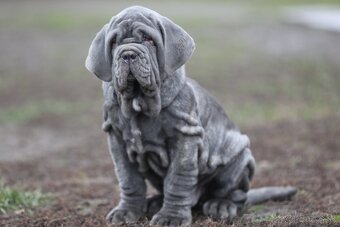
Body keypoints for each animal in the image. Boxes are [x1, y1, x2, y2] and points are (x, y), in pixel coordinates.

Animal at [85, 6, 298, 226]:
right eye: (114, 43)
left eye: (149, 40)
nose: (127, 54)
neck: (139, 101)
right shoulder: (116, 140)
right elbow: (128, 179)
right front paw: (127, 211)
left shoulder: (184, 137)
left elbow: (177, 180)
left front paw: (171, 217)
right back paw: (155, 202)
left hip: (240, 159)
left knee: (236, 195)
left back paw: (221, 205)